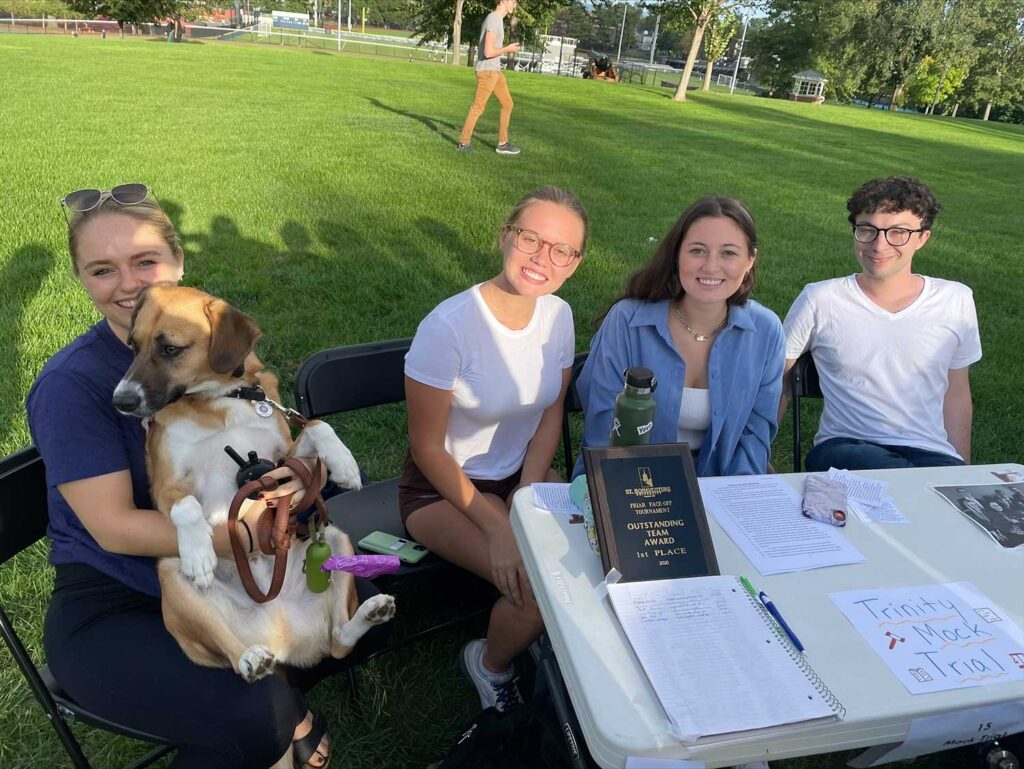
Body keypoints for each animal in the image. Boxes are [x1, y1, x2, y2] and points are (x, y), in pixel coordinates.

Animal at [114, 286, 393, 684]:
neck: (220, 398)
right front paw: (198, 552)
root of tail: (282, 634)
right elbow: (187, 506)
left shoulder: (284, 458)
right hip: (172, 578)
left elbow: (316, 426)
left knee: (339, 641)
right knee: (238, 658)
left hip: (336, 539)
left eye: (170, 348)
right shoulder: (165, 485)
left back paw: (372, 611)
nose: (119, 401)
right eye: (133, 345)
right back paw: (250, 657)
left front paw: (343, 463)